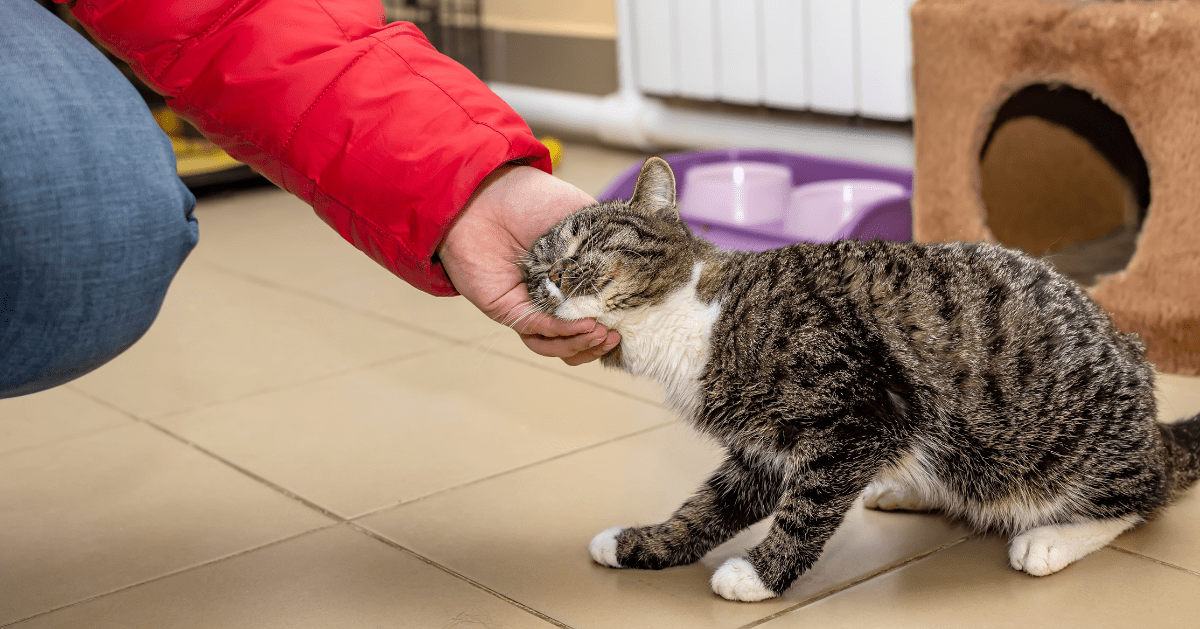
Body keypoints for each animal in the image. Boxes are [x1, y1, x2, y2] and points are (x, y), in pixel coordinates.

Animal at [518, 156, 1200, 600]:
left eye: (587, 245)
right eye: (533, 267)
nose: (549, 276)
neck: (688, 317)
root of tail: (1153, 424)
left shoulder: (858, 417)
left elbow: (808, 507)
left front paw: (758, 575)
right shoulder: (766, 449)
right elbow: (709, 507)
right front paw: (641, 543)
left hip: (1055, 452)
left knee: (1143, 496)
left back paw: (1051, 539)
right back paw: (907, 490)